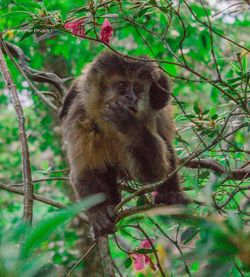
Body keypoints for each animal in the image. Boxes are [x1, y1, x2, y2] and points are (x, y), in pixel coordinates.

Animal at [59, 51, 187, 235]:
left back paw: (171, 194)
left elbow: (153, 172)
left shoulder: (149, 115)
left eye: (138, 89)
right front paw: (98, 212)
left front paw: (130, 125)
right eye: (121, 85)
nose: (131, 98)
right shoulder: (80, 115)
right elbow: (83, 171)